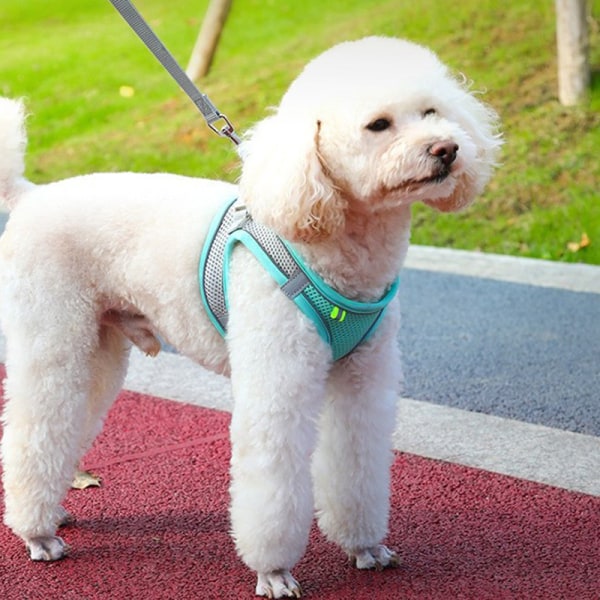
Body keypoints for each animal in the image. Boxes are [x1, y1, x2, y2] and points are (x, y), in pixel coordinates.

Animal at [0, 36, 500, 596]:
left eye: (432, 112)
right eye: (378, 124)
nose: (447, 149)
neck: (329, 244)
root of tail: (29, 196)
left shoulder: (362, 381)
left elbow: (357, 461)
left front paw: (364, 546)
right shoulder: (278, 377)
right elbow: (273, 478)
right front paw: (274, 571)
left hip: (97, 346)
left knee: (69, 422)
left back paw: (51, 511)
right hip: (51, 331)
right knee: (32, 427)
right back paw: (37, 534)